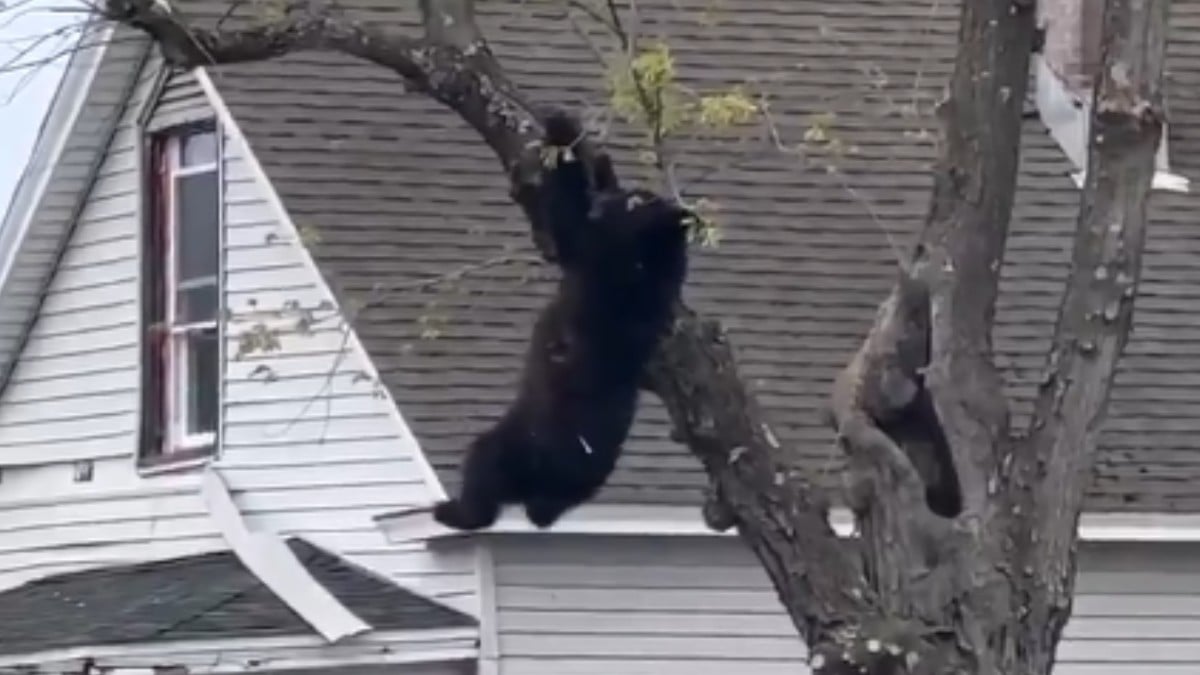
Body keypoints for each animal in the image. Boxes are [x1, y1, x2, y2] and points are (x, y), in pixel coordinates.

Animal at [431, 110, 691, 531]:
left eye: (638, 199)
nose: (619, 199)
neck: (644, 258)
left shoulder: (598, 251)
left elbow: (567, 222)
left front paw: (562, 128)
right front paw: (597, 161)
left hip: (517, 441)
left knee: (484, 472)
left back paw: (455, 512)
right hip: (559, 472)